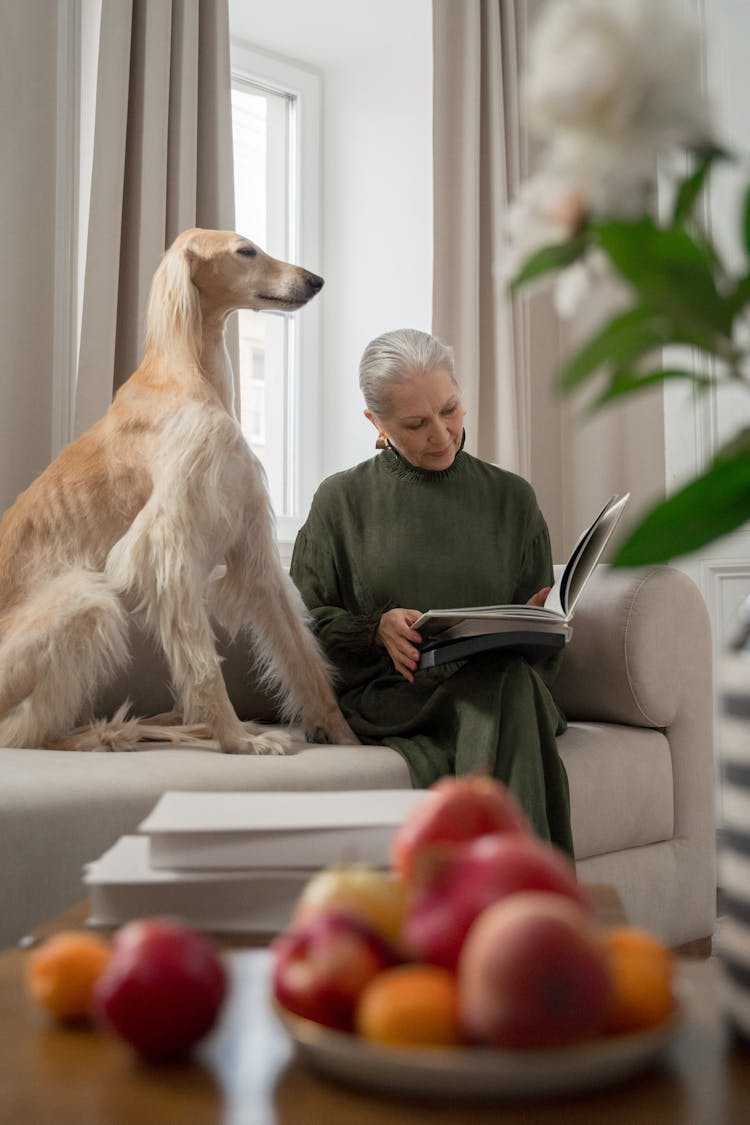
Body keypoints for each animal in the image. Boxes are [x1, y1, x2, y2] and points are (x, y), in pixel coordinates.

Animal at [0, 228, 359, 756]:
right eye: (246, 251)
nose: (315, 281)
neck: (187, 375)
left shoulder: (253, 545)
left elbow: (300, 653)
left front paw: (346, 735)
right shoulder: (167, 546)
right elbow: (204, 664)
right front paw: (238, 740)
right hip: (83, 602)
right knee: (26, 733)